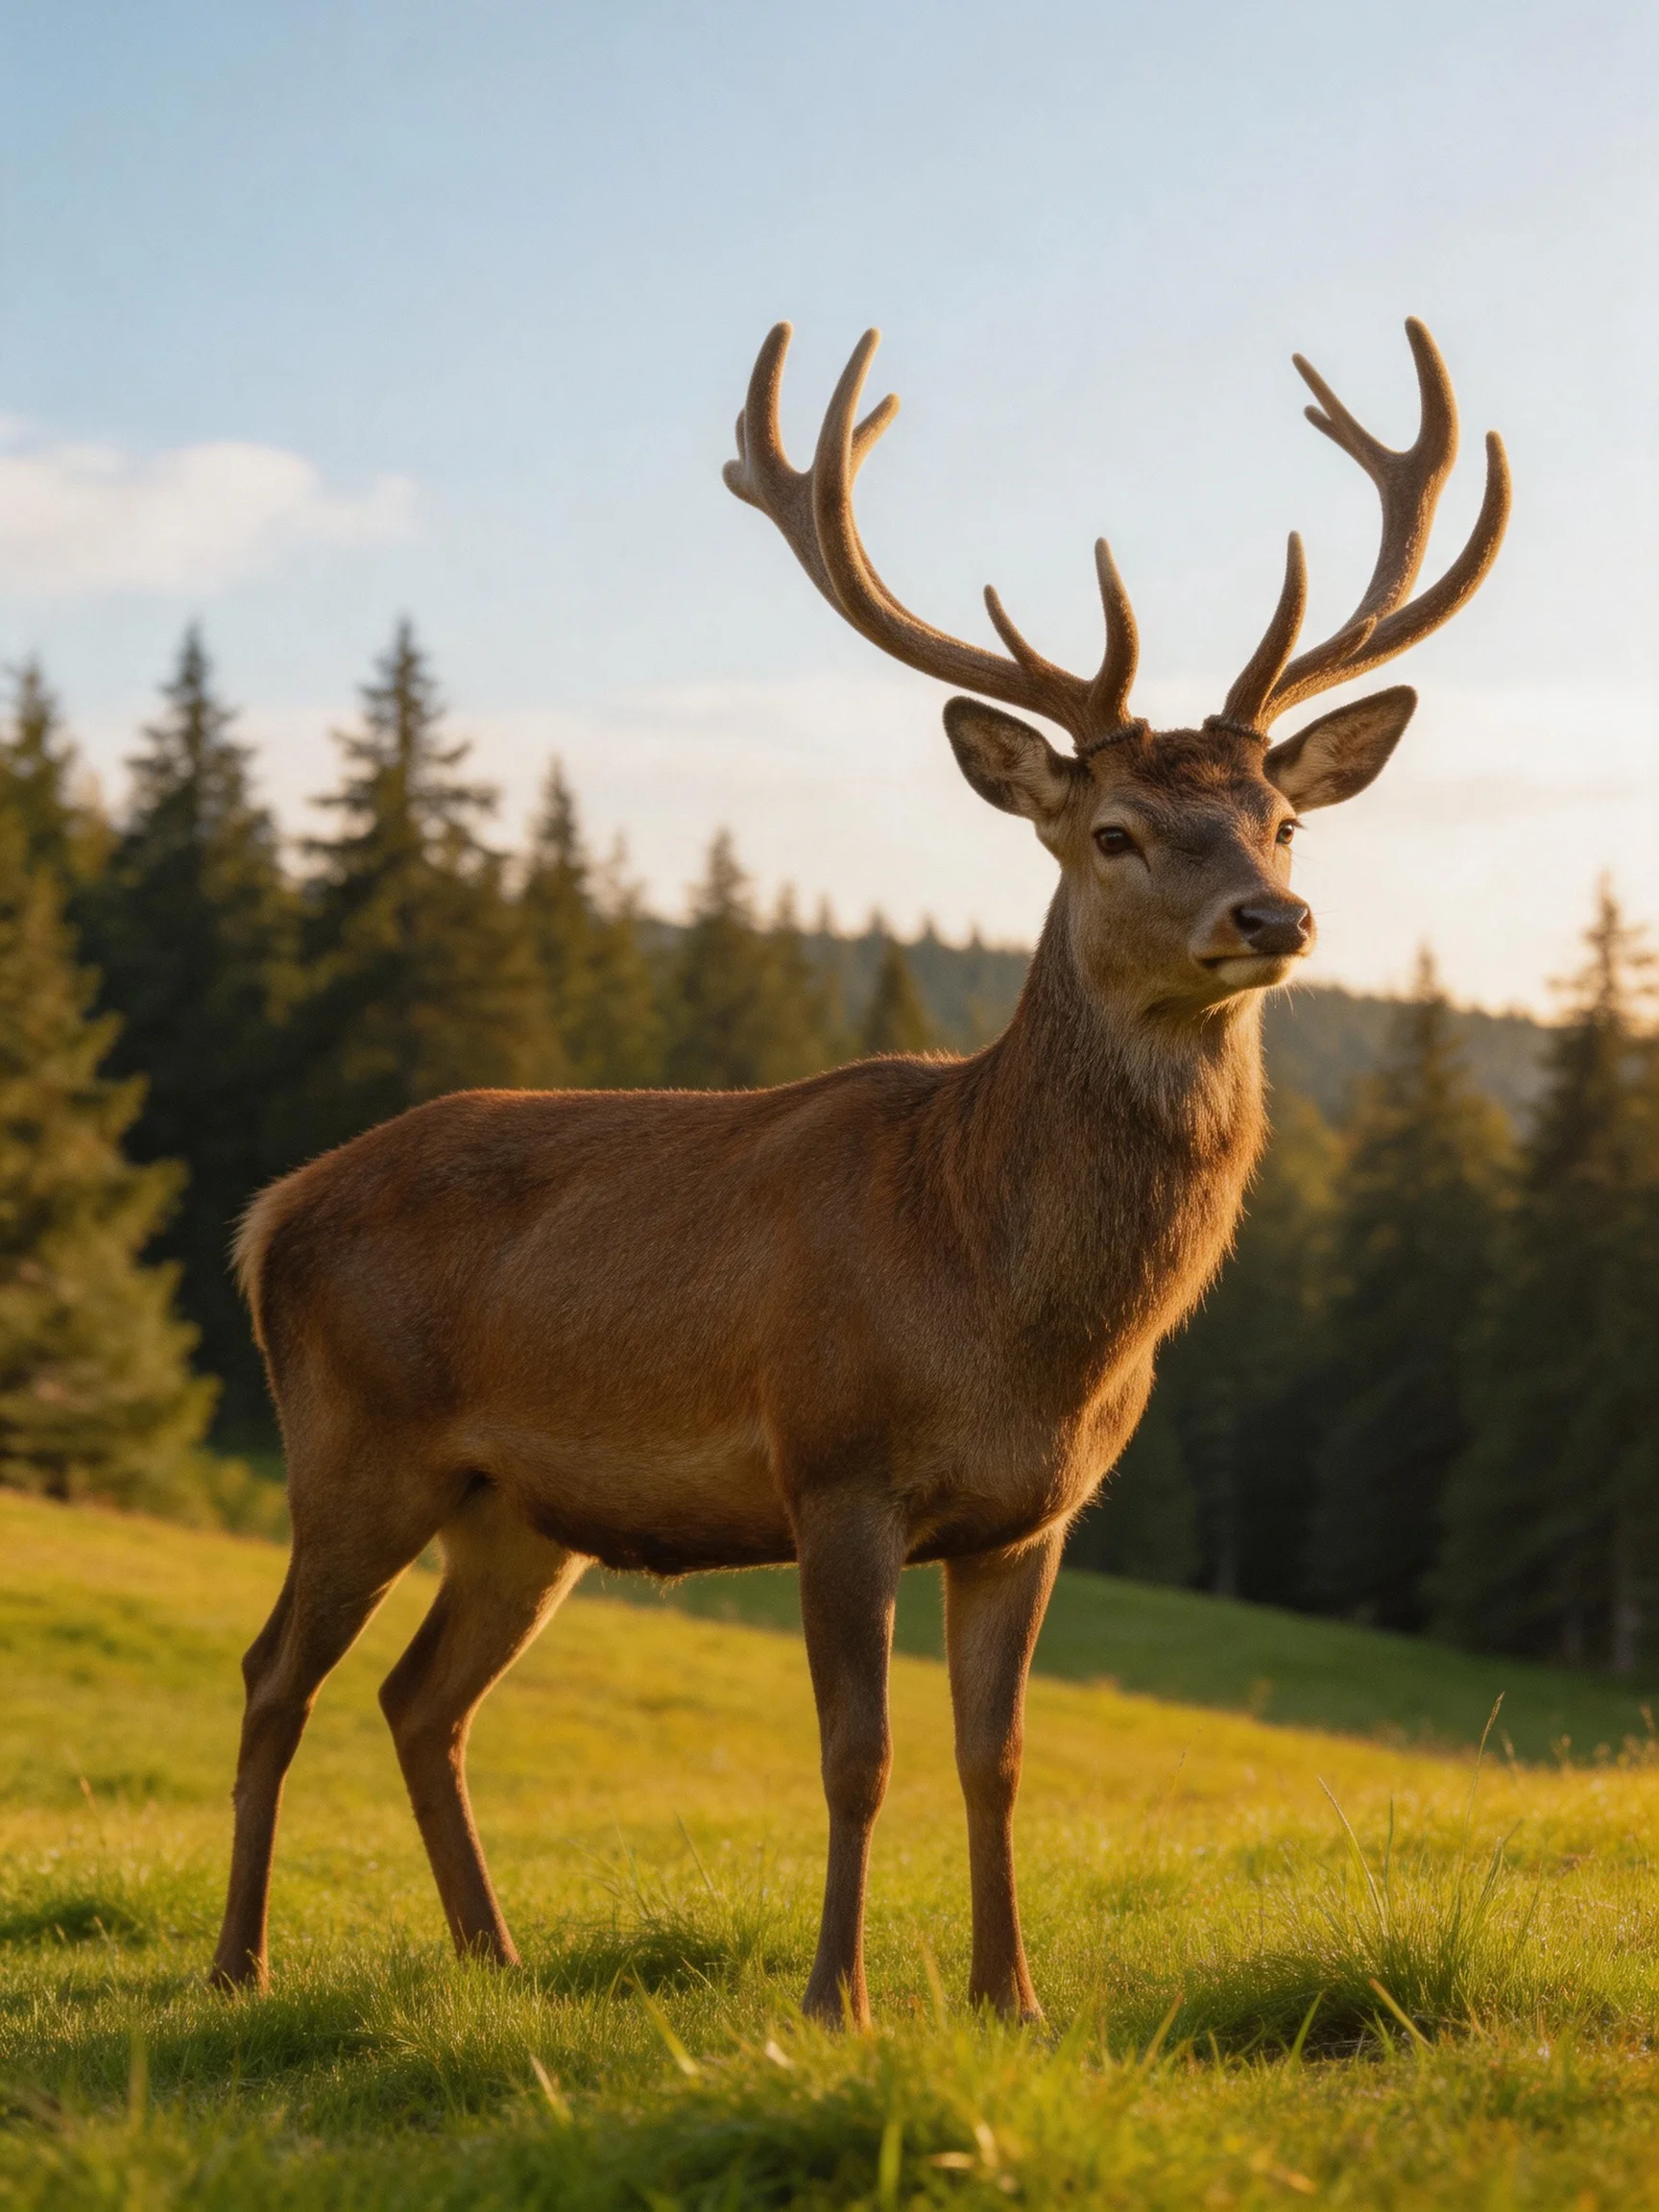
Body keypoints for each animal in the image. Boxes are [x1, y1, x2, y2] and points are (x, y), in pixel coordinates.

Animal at [209, 317, 1508, 2025]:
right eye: (1112, 831)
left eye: (1284, 818)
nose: (1274, 919)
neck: (1014, 1316)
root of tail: (270, 1211)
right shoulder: (832, 1465)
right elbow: (857, 1753)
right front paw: (839, 1998)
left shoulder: (1036, 1513)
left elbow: (996, 1757)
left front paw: (1012, 1998)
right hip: (353, 1442)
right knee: (274, 1673)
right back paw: (239, 1961)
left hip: (519, 1510)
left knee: (423, 1696)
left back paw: (496, 1958)